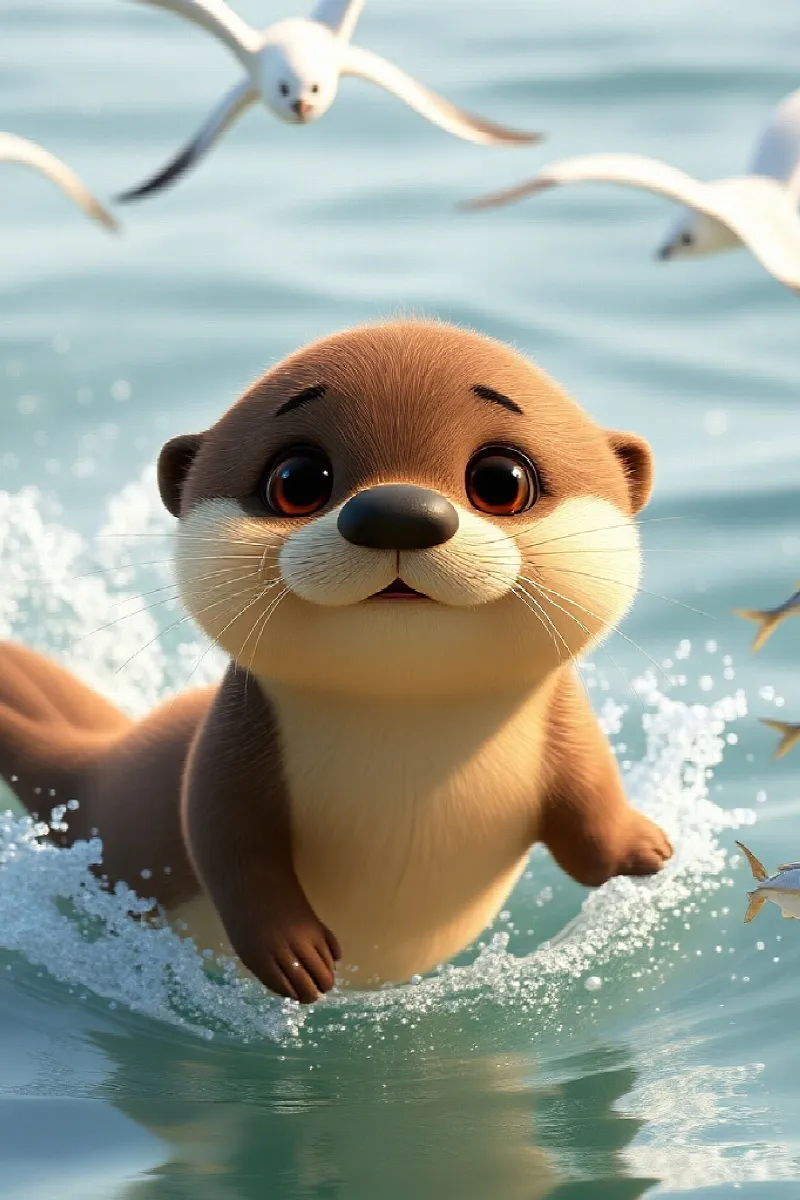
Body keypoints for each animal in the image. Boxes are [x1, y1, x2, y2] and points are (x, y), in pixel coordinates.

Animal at [0, 320, 672, 1003]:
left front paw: (642, 846)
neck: (406, 739)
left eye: (502, 482)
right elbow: (226, 839)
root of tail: (95, 765)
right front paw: (293, 955)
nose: (397, 512)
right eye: (297, 481)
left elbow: (590, 793)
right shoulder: (231, 741)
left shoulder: (562, 717)